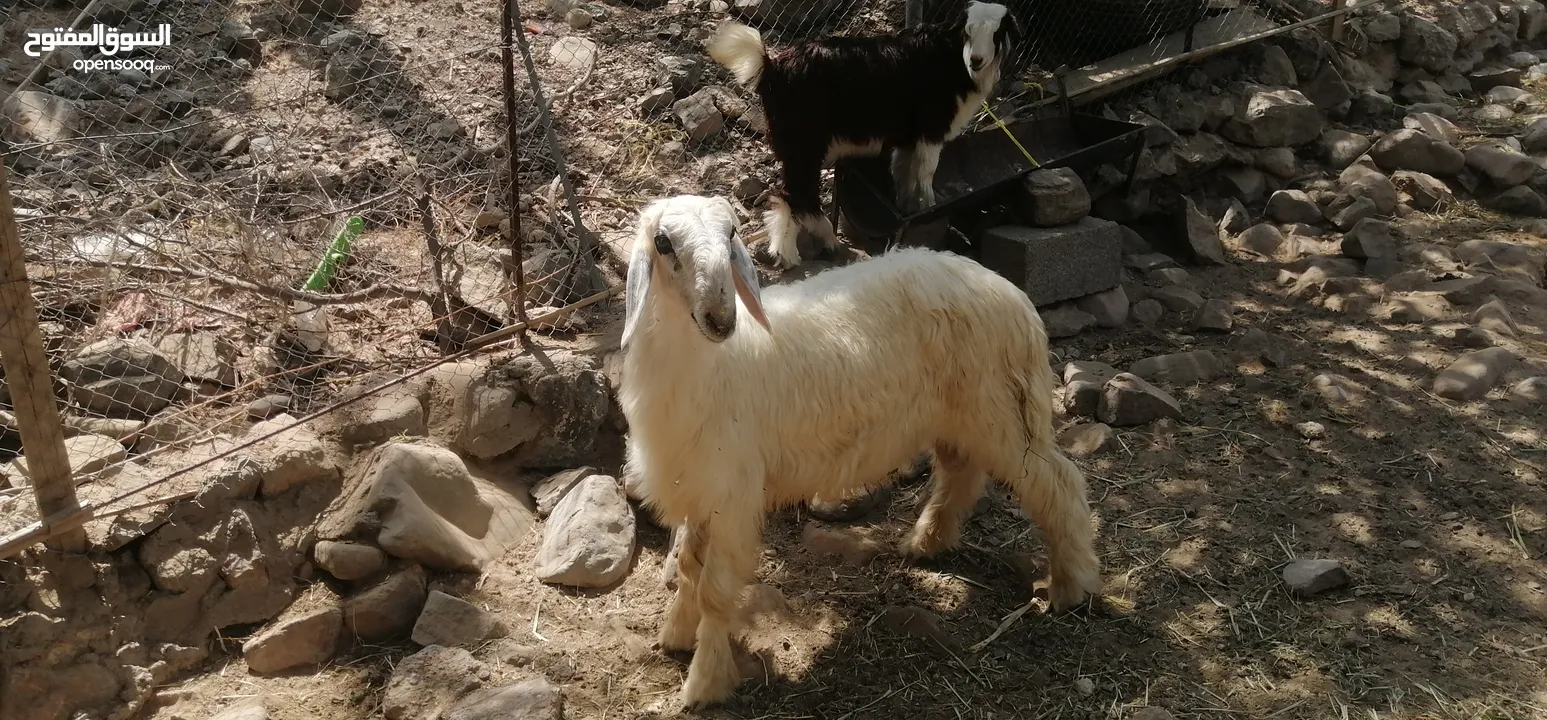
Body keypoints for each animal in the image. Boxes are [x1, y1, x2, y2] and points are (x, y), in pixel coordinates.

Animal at [615, 193, 1101, 702]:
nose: (720, 319)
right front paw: (675, 635)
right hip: (961, 417)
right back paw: (927, 542)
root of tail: (1014, 296)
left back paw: (1072, 586)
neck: (707, 363)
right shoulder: (699, 486)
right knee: (961, 475)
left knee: (1059, 485)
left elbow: (713, 589)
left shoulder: (733, 493)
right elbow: (689, 567)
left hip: (1004, 414)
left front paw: (704, 683)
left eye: (730, 234)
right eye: (663, 242)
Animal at [708, 0, 1021, 266]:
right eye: (968, 31)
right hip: (805, 141)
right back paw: (807, 248)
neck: (951, 57)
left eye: (997, 32)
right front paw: (932, 206)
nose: (977, 60)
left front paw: (907, 208)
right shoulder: (931, 129)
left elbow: (903, 171)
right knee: (796, 194)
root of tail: (770, 66)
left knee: (791, 194)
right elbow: (926, 171)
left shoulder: (908, 136)